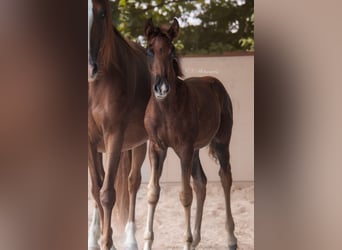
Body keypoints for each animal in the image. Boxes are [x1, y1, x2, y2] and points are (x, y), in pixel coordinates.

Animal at [88, 0, 151, 249]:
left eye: (102, 14)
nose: (90, 67)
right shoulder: (89, 141)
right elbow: (97, 189)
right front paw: (102, 239)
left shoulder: (114, 135)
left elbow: (107, 193)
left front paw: (108, 242)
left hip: (141, 143)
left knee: (133, 183)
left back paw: (131, 240)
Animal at [143, 19, 236, 250]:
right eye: (149, 50)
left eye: (172, 51)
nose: (162, 88)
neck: (166, 109)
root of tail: (216, 83)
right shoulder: (156, 147)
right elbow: (152, 193)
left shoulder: (184, 148)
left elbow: (185, 195)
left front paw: (186, 240)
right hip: (194, 151)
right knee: (201, 182)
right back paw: (196, 240)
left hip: (221, 142)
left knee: (225, 177)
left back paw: (231, 238)